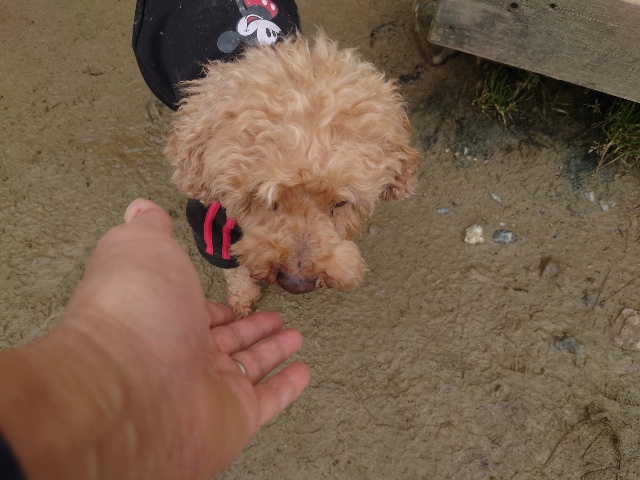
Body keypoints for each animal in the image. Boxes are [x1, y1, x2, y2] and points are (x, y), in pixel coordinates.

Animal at [134, 0, 420, 317]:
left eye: (341, 203)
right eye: (264, 198)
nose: (296, 283)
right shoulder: (208, 217)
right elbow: (230, 265)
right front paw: (242, 298)